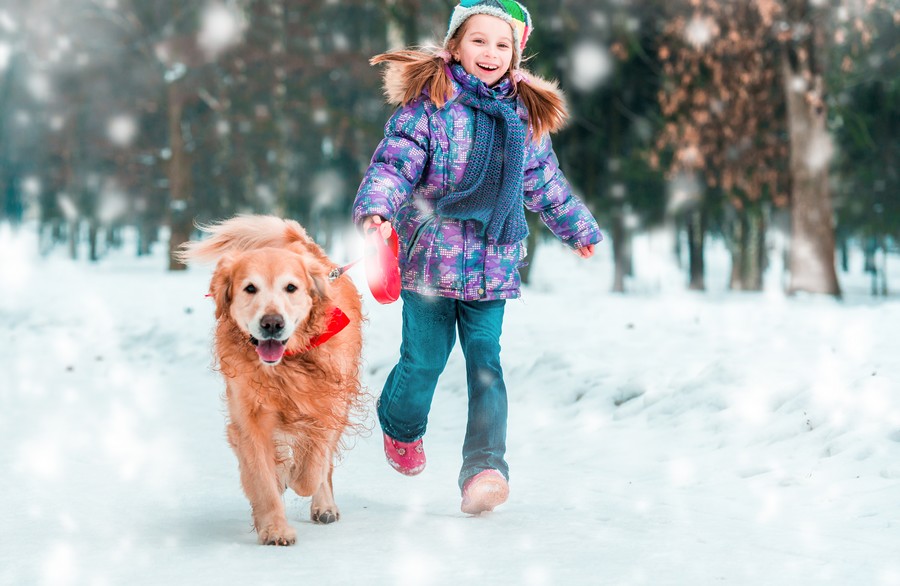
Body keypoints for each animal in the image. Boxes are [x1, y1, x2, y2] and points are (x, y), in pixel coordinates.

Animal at [178, 213, 364, 544]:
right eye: (250, 288)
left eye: (291, 287)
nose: (272, 323)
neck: (285, 365)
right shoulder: (249, 418)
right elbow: (263, 479)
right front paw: (275, 528)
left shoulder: (328, 406)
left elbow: (311, 468)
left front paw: (296, 476)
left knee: (323, 465)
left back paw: (324, 505)